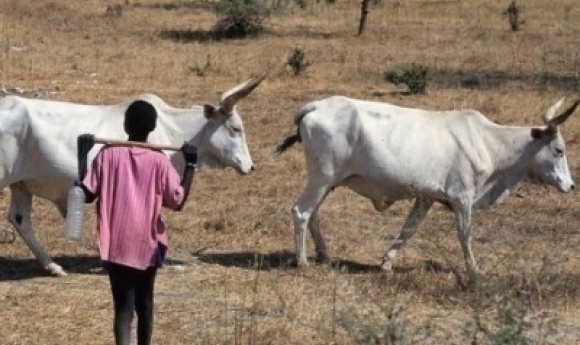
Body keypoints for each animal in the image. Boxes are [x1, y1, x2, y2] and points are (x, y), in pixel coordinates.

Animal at [0, 74, 266, 274]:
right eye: (235, 129)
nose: (250, 166)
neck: (172, 129)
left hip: (20, 184)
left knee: (20, 219)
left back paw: (52, 266)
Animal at [276, 94, 576, 276]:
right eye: (558, 150)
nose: (571, 186)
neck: (487, 141)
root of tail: (316, 106)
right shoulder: (462, 196)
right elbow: (465, 235)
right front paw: (474, 270)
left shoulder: (426, 197)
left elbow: (409, 229)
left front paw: (386, 262)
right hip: (321, 178)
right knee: (301, 211)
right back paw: (302, 261)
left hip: (327, 183)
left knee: (313, 214)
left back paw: (324, 255)